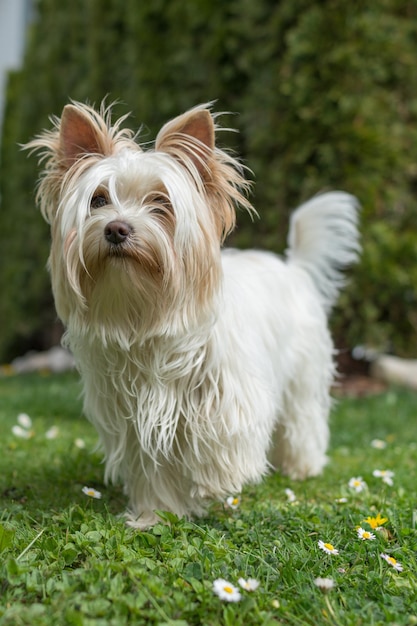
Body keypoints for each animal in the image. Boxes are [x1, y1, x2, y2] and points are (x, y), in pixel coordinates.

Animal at [26, 102, 360, 528]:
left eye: (161, 202)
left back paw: (302, 467)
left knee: (304, 421)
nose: (116, 229)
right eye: (98, 200)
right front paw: (155, 514)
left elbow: (220, 442)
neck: (145, 315)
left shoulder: (230, 397)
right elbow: (152, 469)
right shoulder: (136, 420)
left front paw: (214, 484)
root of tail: (294, 267)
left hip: (303, 376)